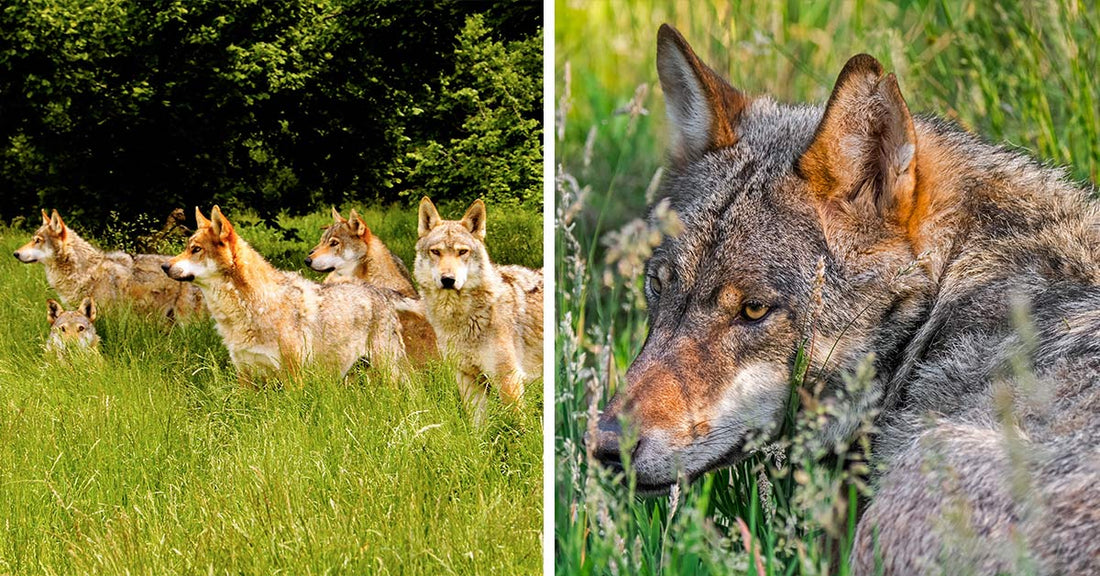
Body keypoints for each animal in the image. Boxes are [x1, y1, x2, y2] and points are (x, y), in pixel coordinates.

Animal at [163, 206, 406, 383]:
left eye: (195, 249)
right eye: (186, 248)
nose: (165, 266)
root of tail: (382, 292)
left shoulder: (293, 378)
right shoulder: (245, 376)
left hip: (386, 372)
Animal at [415, 197, 543, 418]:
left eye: (462, 252)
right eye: (436, 252)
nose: (448, 280)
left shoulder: (509, 379)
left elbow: (516, 425)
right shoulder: (467, 378)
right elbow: (477, 425)